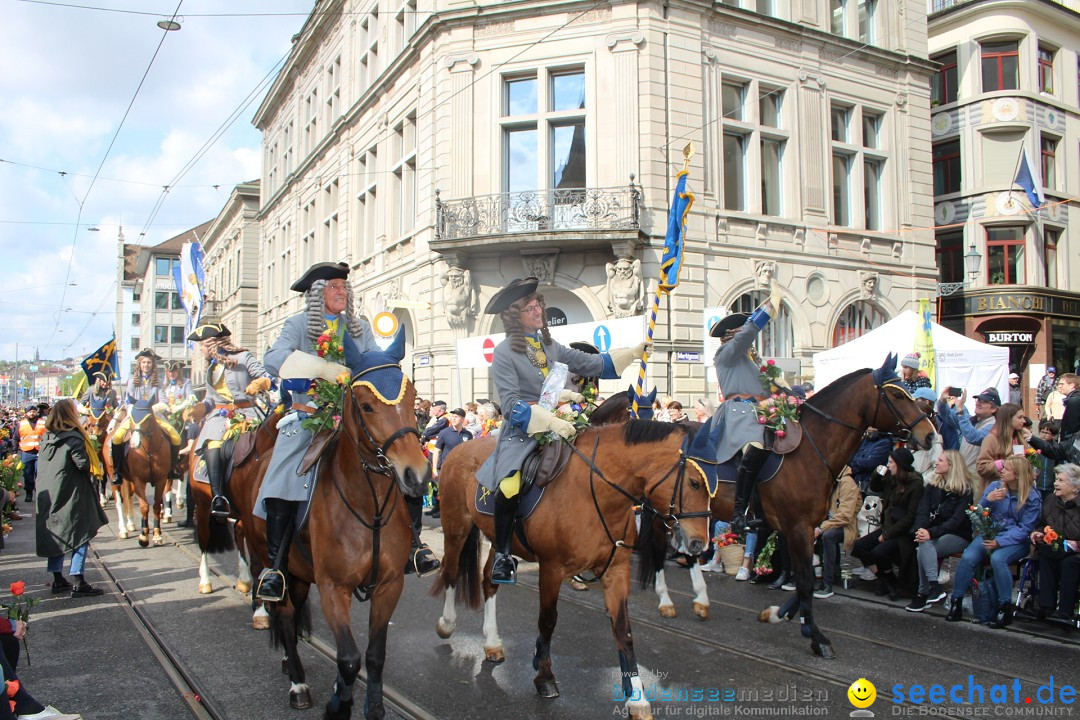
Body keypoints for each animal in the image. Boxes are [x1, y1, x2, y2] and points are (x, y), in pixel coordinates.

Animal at [429, 416, 717, 720]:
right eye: (695, 483)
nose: (699, 544)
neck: (597, 494)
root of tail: (459, 449)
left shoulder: (616, 570)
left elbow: (623, 630)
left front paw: (637, 699)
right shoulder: (551, 568)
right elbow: (548, 620)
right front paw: (544, 676)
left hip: (498, 540)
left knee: (489, 581)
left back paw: (492, 642)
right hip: (456, 528)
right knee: (450, 572)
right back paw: (446, 624)